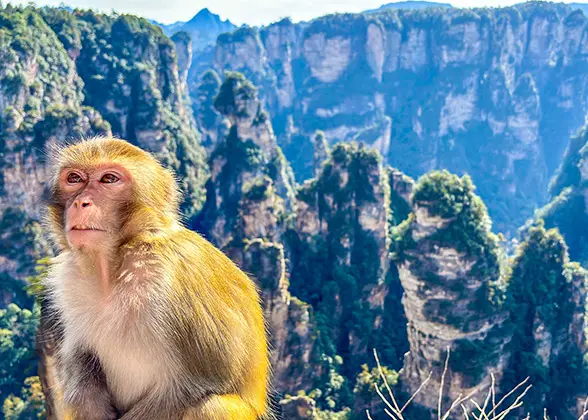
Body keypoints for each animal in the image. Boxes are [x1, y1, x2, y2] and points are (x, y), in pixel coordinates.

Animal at [42, 136, 272, 418]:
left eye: (109, 179)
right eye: (74, 178)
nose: (80, 202)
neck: (115, 263)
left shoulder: (173, 274)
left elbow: (200, 381)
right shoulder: (70, 281)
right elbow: (83, 363)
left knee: (213, 406)